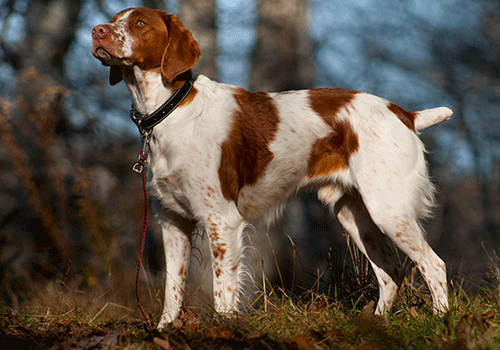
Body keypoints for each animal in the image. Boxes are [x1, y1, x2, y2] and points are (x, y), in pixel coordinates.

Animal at [91, 6, 454, 330]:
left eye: (139, 23)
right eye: (114, 20)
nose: (97, 31)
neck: (169, 111)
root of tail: (405, 114)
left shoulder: (221, 219)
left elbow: (223, 290)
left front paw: (225, 329)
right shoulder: (172, 220)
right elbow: (173, 288)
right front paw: (165, 329)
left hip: (388, 209)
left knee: (433, 264)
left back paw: (440, 320)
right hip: (355, 214)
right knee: (391, 271)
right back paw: (378, 324)